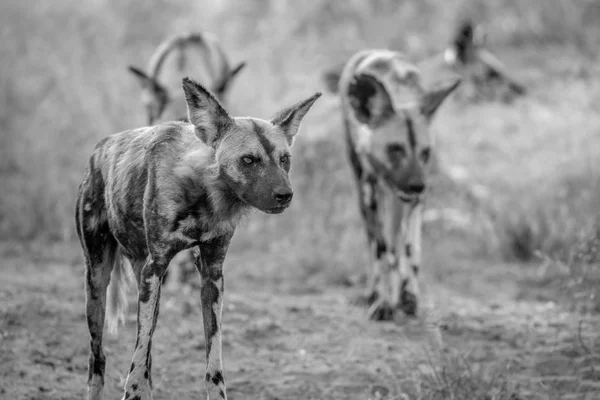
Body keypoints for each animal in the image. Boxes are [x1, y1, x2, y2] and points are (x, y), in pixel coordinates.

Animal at [75, 76, 322, 398]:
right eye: (249, 160)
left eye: (284, 159)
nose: (285, 195)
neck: (204, 194)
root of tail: (99, 149)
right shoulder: (156, 267)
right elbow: (137, 361)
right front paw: (134, 390)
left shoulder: (211, 276)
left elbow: (213, 360)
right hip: (98, 283)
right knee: (99, 359)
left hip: (145, 280)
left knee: (147, 348)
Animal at [330, 50, 462, 320]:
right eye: (395, 149)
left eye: (425, 153)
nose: (417, 185)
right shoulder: (371, 192)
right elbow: (381, 249)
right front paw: (384, 303)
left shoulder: (416, 199)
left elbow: (411, 248)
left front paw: (408, 296)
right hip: (365, 192)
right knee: (374, 242)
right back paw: (373, 292)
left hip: (397, 198)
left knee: (395, 244)